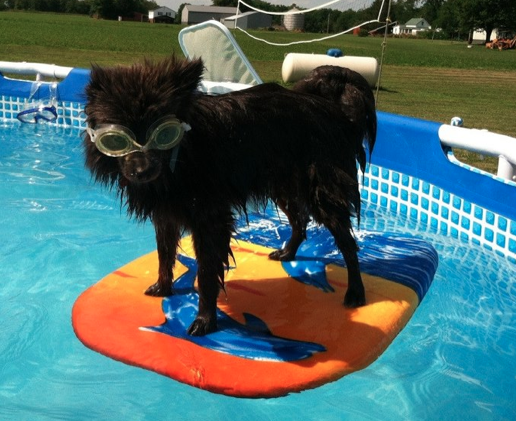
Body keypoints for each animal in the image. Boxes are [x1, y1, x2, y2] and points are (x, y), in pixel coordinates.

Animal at [83, 56, 376, 336]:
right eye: (116, 140)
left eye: (165, 134)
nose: (142, 171)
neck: (183, 156)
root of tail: (335, 111)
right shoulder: (166, 215)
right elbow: (164, 255)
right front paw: (164, 287)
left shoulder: (210, 220)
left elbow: (206, 273)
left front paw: (205, 320)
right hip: (283, 186)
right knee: (299, 221)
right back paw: (288, 252)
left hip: (323, 193)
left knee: (347, 243)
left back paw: (355, 292)